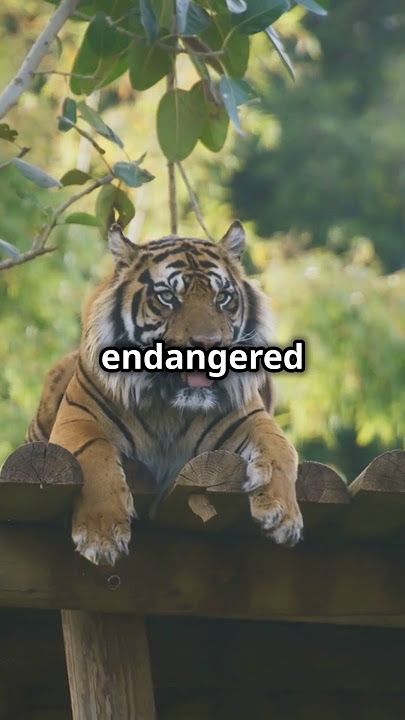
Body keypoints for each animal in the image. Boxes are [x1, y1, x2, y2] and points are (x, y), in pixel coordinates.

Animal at [27, 221, 303, 565]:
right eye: (169, 297)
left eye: (223, 297)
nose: (208, 343)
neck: (168, 407)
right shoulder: (78, 420)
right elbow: (93, 455)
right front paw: (101, 535)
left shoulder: (250, 418)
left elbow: (281, 449)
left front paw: (283, 515)